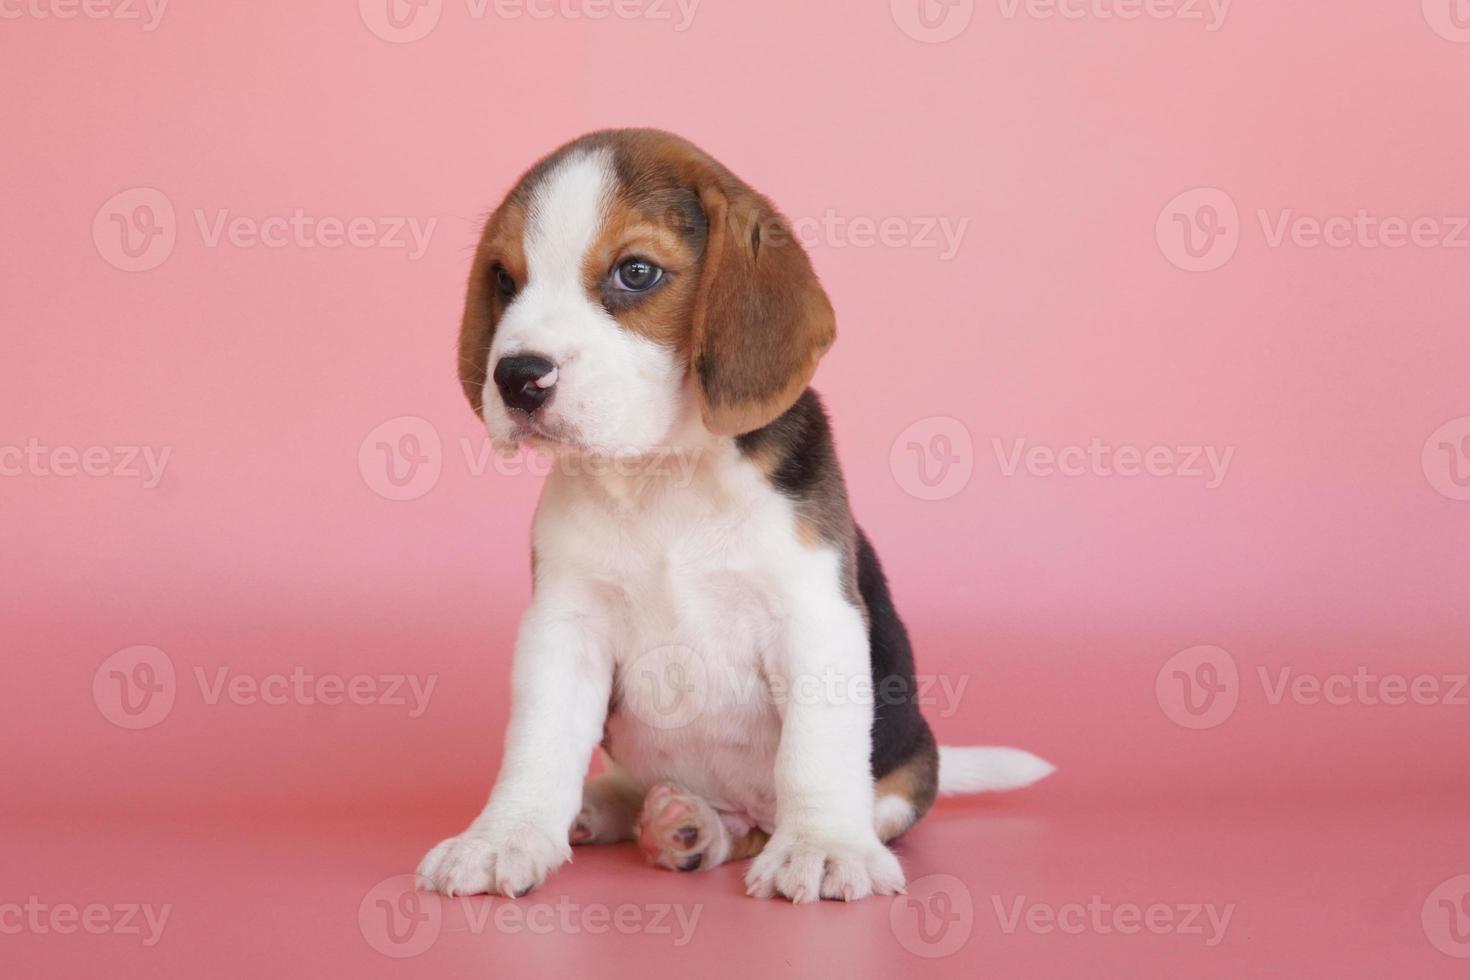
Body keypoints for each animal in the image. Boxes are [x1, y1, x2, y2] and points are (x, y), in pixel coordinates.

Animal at [420, 130, 1052, 905]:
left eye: (635, 273)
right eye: (506, 280)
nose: (516, 378)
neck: (663, 472)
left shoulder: (814, 619)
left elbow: (815, 753)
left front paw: (822, 846)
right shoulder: (563, 626)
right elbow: (538, 747)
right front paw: (504, 835)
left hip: (902, 771)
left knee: (767, 823)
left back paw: (696, 827)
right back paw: (627, 811)